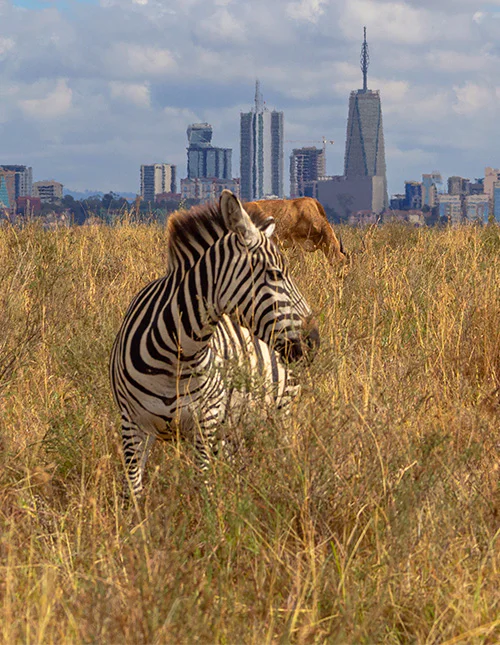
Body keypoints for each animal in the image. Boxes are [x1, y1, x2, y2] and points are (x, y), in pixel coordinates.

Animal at [110, 190, 319, 497]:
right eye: (275, 274)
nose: (313, 341)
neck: (177, 356)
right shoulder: (132, 424)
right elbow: (132, 492)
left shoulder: (205, 424)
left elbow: (203, 488)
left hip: (280, 411)